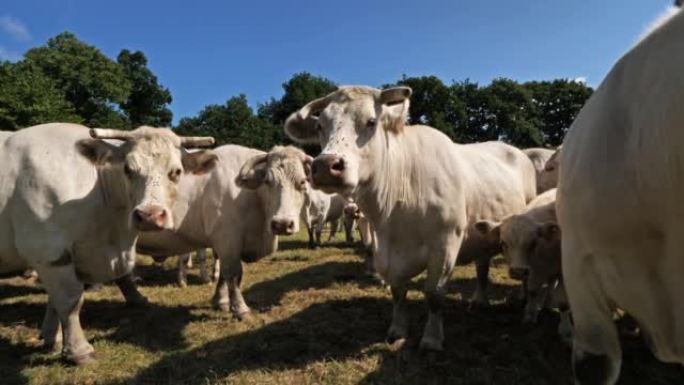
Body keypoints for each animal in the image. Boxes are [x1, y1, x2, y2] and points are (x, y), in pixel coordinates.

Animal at [0, 123, 215, 364]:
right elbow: (69, 301)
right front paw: (78, 350)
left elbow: (55, 301)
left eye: (176, 172)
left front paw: (52, 338)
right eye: (128, 169)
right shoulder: (47, 248)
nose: (149, 216)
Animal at [115, 144, 312, 318]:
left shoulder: (227, 244)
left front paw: (221, 301)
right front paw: (240, 309)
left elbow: (224, 274)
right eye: (268, 182)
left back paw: (137, 299)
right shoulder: (227, 239)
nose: (282, 224)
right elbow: (233, 272)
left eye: (302, 182)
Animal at [282, 85, 536, 350]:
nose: (326, 165)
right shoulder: (386, 249)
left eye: (371, 122)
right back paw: (479, 300)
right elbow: (397, 291)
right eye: (320, 126)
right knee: (482, 265)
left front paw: (431, 338)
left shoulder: (445, 244)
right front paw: (397, 329)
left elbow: (433, 294)